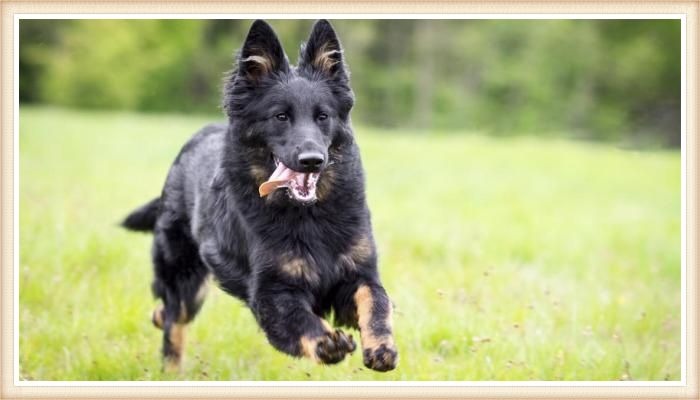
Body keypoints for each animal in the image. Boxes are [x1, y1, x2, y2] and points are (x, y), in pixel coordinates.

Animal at [124, 20, 400, 374]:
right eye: (280, 116)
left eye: (322, 116)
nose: (313, 160)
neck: (308, 215)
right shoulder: (270, 290)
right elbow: (298, 318)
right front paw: (326, 342)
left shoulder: (357, 273)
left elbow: (376, 301)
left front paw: (381, 346)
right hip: (186, 279)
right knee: (174, 321)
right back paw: (171, 370)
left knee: (166, 312)